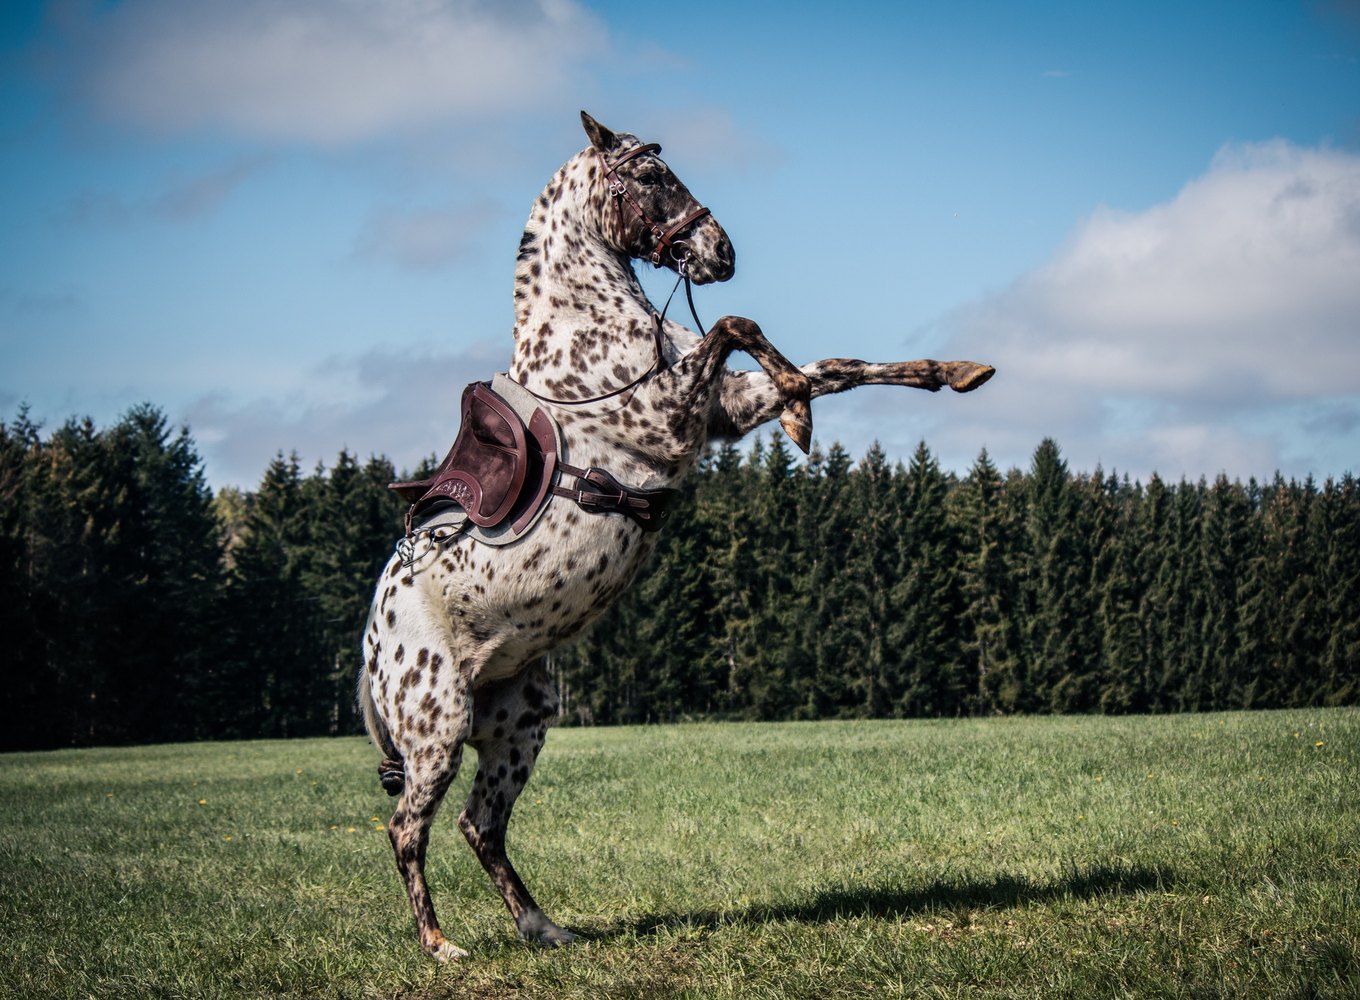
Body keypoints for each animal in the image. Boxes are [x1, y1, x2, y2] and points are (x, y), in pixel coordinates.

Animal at [359, 111, 994, 960]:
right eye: (652, 176)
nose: (721, 253)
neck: (588, 343)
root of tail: (371, 645)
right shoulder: (669, 416)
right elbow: (741, 325)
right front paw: (799, 410)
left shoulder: (717, 410)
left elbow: (834, 362)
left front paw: (945, 373)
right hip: (437, 728)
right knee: (408, 829)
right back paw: (440, 945)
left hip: (521, 720)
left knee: (479, 825)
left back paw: (544, 926)